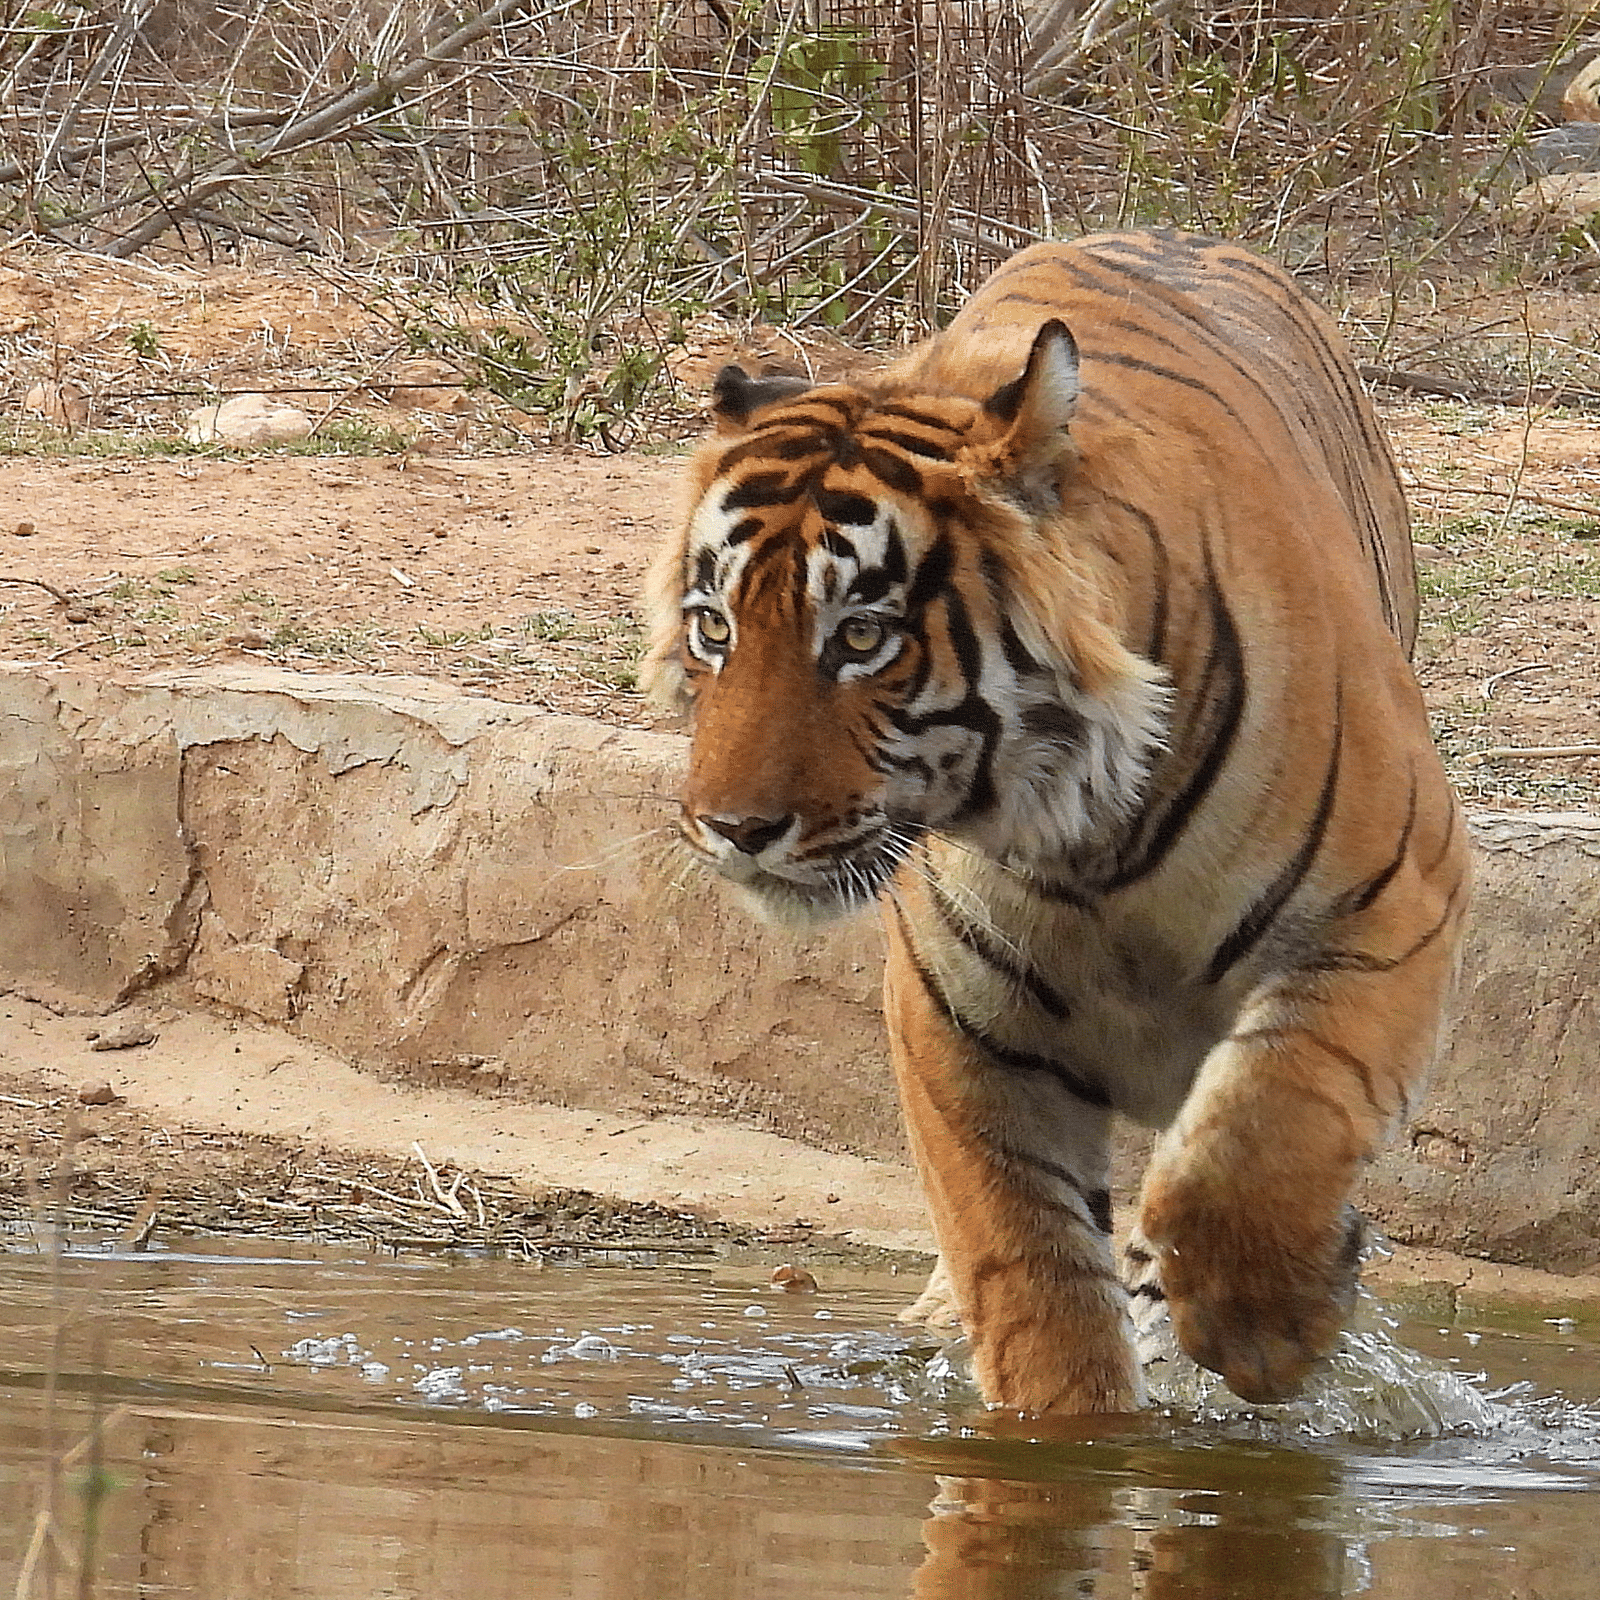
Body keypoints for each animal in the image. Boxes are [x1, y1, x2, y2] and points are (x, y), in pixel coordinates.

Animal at [642, 229, 1469, 1414]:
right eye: (714, 629)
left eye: (861, 637)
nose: (731, 826)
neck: (1096, 844)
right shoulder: (963, 1023)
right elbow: (1035, 1292)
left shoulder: (1388, 904)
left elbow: (1262, 1139)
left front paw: (1268, 1329)